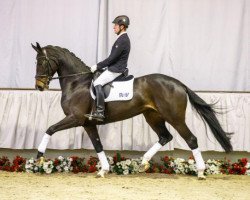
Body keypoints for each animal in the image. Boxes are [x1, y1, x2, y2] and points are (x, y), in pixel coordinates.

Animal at [31, 42, 232, 178]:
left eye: (41, 62)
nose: (39, 86)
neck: (77, 82)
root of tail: (178, 84)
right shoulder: (88, 123)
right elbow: (98, 145)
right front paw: (103, 170)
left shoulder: (76, 118)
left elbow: (50, 129)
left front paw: (39, 157)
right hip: (152, 116)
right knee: (165, 137)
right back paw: (143, 162)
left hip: (175, 118)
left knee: (191, 139)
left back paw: (200, 172)